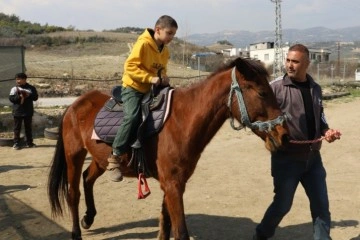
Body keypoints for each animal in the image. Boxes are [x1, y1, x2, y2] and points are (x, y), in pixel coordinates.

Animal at [48, 58, 290, 240]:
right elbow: (180, 231)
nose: (284, 135)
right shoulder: (172, 184)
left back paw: (88, 218)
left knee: (87, 179)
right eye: (262, 93)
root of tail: (73, 105)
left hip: (100, 159)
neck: (181, 121)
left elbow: (165, 223)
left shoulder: (174, 183)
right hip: (74, 155)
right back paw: (76, 232)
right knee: (73, 193)